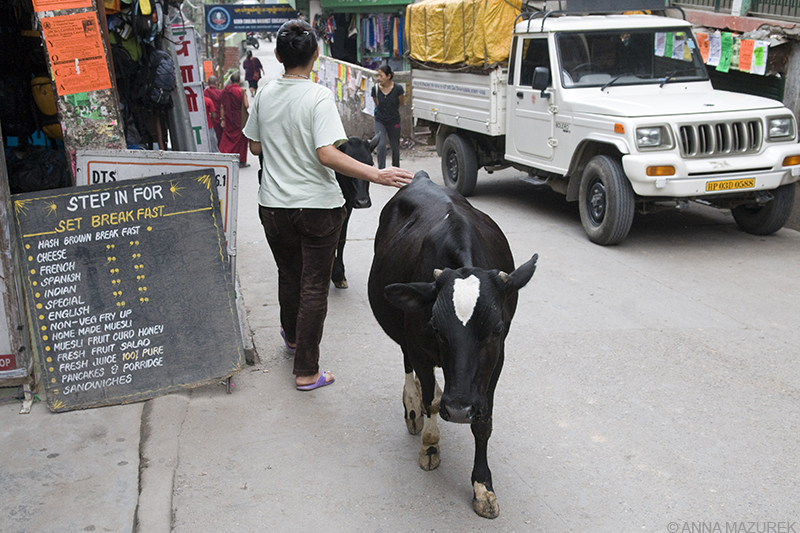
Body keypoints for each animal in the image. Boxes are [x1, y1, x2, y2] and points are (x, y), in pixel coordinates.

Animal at [368, 171, 536, 520]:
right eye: (436, 326)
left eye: (496, 328)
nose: (459, 409)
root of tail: (421, 177)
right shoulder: (420, 345)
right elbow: (432, 400)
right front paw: (430, 445)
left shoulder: (497, 359)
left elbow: (484, 421)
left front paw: (483, 487)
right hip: (403, 333)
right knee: (409, 368)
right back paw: (413, 407)